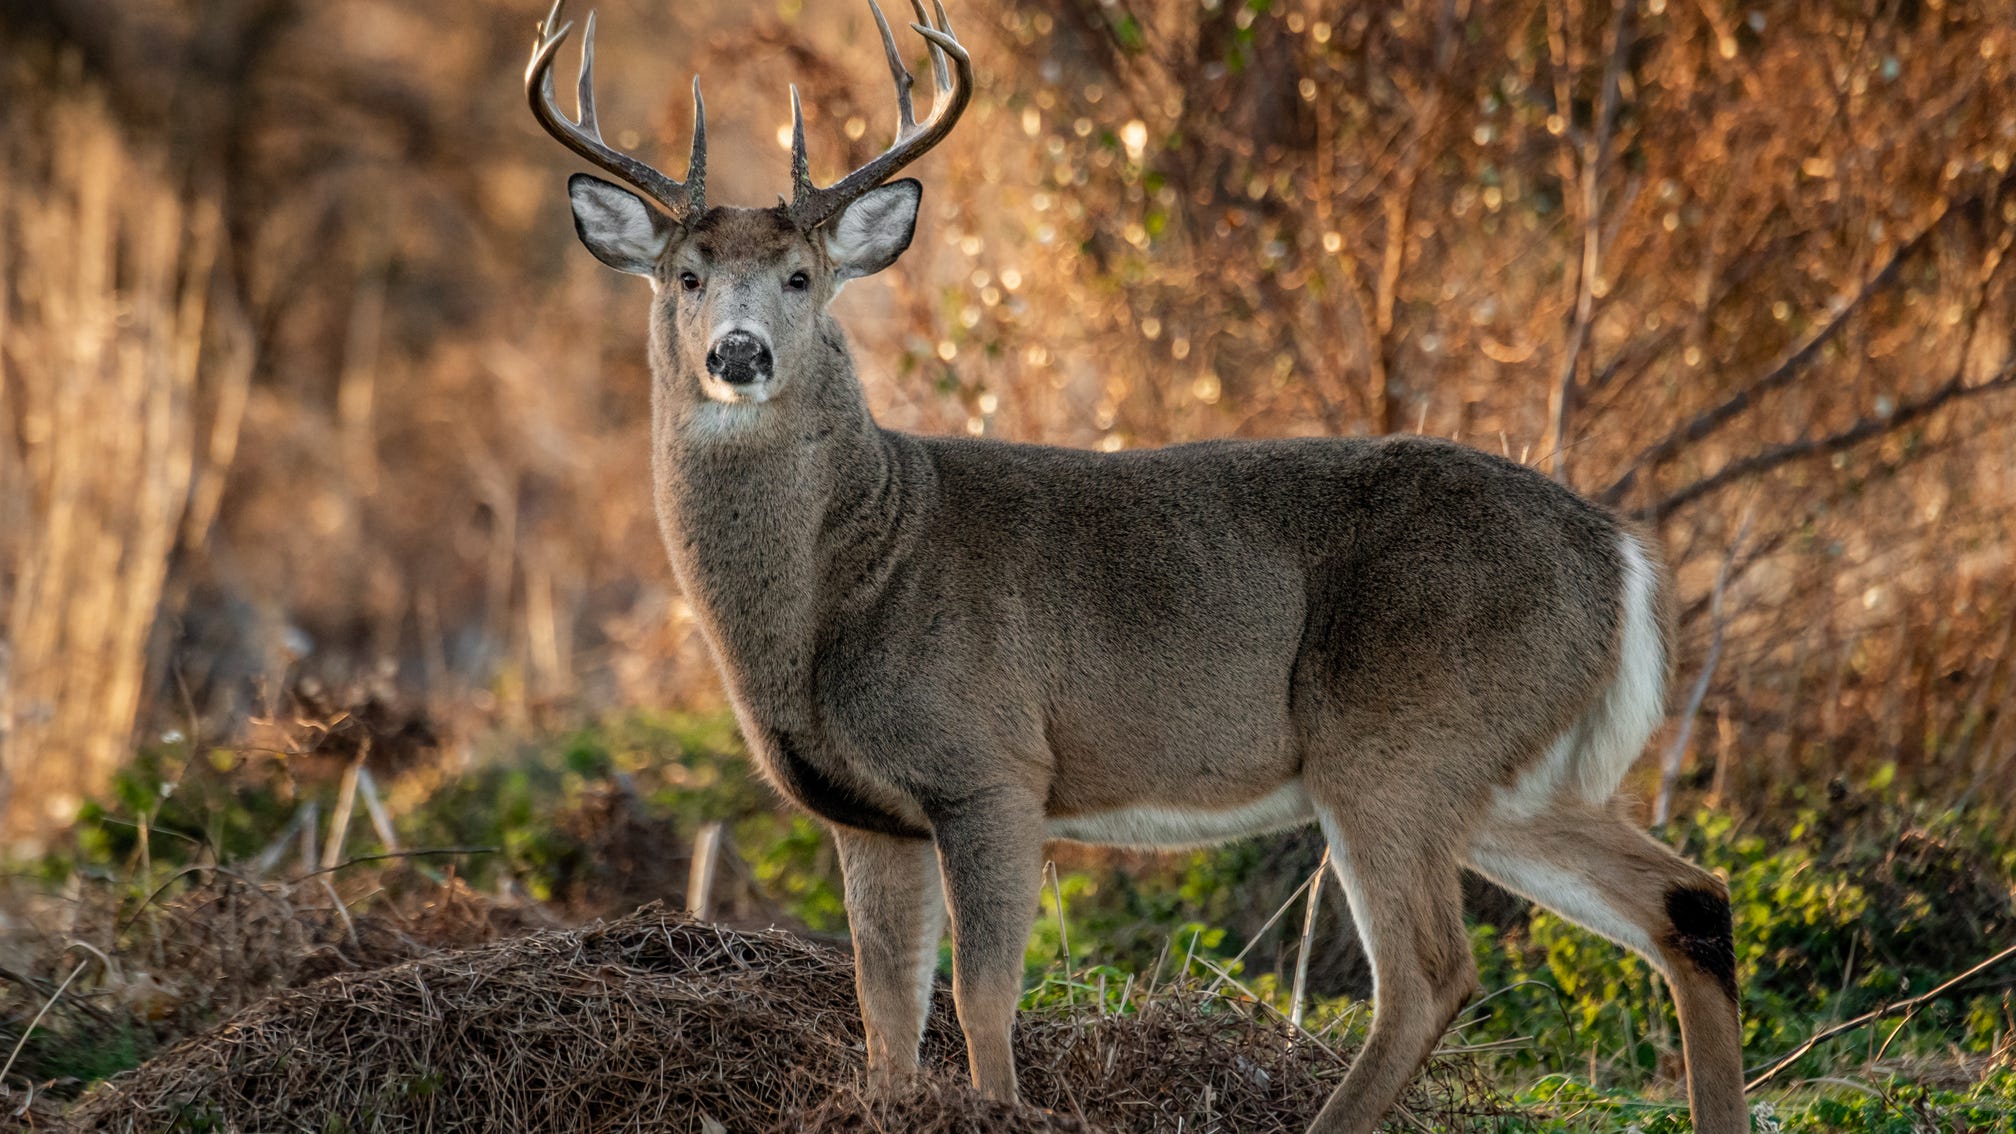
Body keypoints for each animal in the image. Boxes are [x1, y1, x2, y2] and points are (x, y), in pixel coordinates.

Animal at [524, 4, 1749, 1121]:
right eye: (685, 274)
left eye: (799, 276)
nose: (739, 355)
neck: (851, 580)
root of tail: (1621, 552)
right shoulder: (868, 813)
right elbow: (885, 1020)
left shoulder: (993, 764)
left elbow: (979, 999)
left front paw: (1004, 1109)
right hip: (1508, 769)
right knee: (1689, 902)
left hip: (1400, 739)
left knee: (1431, 976)